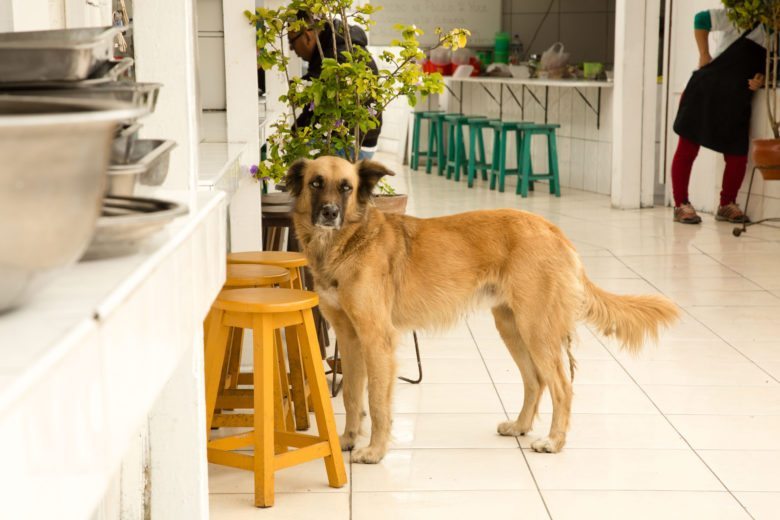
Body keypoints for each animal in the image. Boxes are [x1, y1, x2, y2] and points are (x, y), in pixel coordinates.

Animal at [284, 156, 676, 466]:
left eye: (346, 187)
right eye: (316, 183)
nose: (330, 213)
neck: (346, 242)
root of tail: (553, 229)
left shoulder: (377, 339)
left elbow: (377, 402)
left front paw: (375, 451)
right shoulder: (350, 338)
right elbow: (352, 395)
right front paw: (348, 440)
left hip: (536, 329)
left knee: (561, 386)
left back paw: (553, 441)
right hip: (511, 326)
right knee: (535, 381)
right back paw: (520, 426)